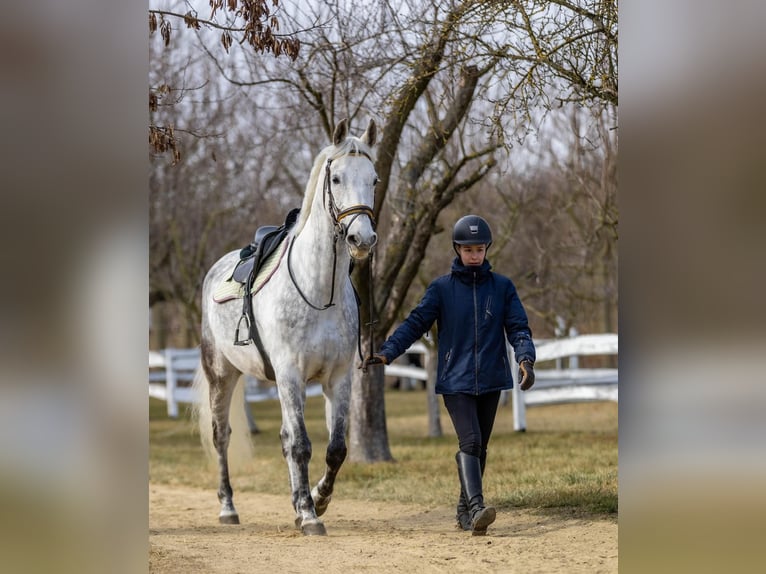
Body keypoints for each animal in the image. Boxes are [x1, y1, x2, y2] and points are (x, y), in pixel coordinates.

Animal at [194, 119, 380, 536]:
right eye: (337, 178)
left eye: (374, 179)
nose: (362, 239)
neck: (319, 292)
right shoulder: (291, 375)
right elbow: (301, 446)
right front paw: (310, 514)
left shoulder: (338, 378)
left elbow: (335, 448)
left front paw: (318, 499)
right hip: (222, 375)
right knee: (221, 436)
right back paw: (228, 508)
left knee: (284, 438)